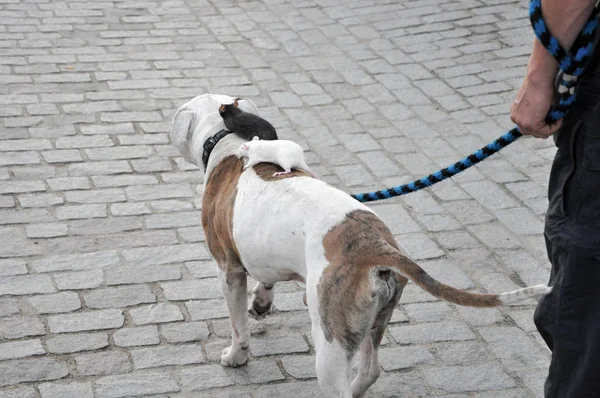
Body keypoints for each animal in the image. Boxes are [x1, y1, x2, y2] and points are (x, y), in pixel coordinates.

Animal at [171, 94, 552, 398]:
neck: (230, 143)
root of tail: (375, 246)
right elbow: (266, 279)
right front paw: (262, 303)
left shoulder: (229, 270)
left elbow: (238, 325)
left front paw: (236, 357)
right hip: (374, 320)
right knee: (370, 370)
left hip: (330, 342)